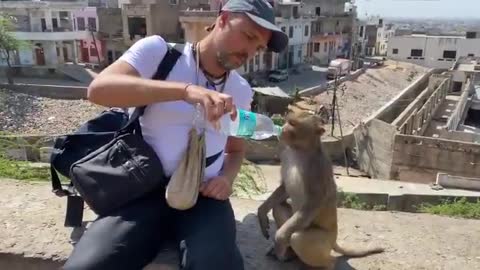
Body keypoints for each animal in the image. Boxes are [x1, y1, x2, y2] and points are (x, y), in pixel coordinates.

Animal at [256, 110, 384, 268]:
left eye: (292, 123)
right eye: (287, 121)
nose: (283, 128)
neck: (301, 149)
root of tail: (334, 239)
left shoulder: (317, 167)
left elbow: (313, 202)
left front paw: (279, 239)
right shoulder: (286, 153)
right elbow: (284, 188)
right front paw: (262, 212)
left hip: (324, 239)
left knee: (298, 238)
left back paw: (328, 263)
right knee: (279, 207)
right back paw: (290, 253)